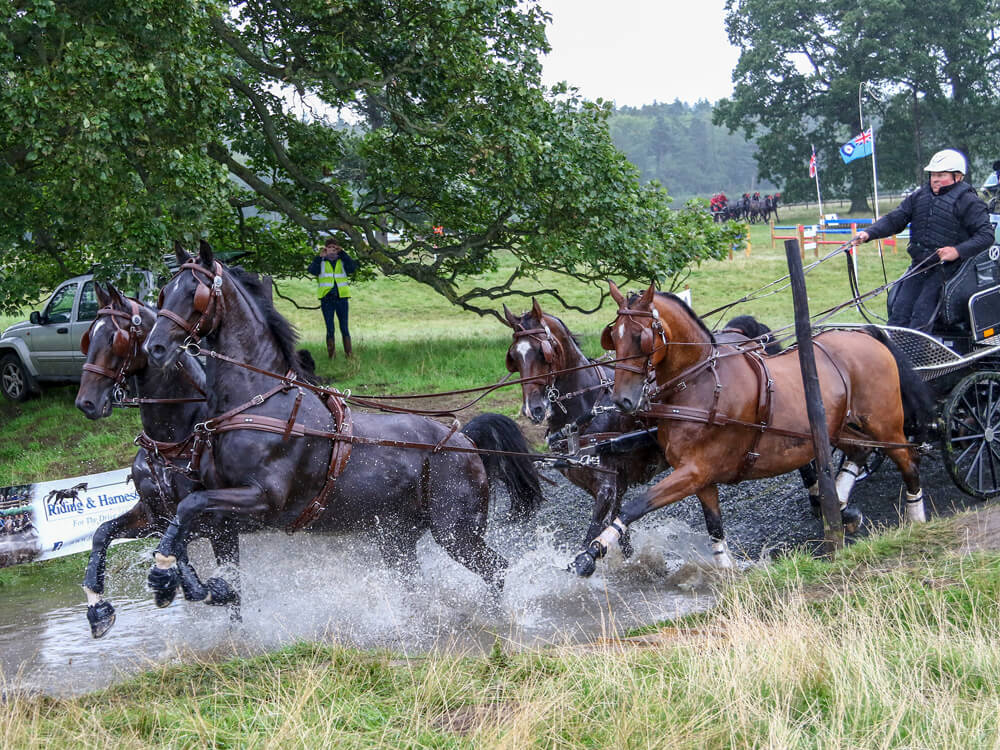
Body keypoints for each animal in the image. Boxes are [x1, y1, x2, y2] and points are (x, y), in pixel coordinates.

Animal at [141, 244, 540, 608]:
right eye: (164, 292)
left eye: (195, 292)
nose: (154, 348)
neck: (258, 403)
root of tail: (465, 441)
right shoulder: (231, 515)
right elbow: (186, 521)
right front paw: (183, 579)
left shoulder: (264, 501)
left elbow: (189, 505)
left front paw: (171, 576)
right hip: (397, 537)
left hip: (456, 532)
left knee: (497, 569)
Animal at [576, 284, 932, 580]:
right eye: (613, 336)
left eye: (642, 337)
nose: (622, 400)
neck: (699, 383)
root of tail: (866, 334)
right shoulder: (699, 476)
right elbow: (714, 524)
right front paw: (726, 570)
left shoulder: (694, 470)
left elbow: (636, 505)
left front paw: (593, 552)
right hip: (839, 429)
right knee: (860, 452)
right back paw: (841, 507)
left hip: (885, 425)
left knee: (908, 461)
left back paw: (916, 518)